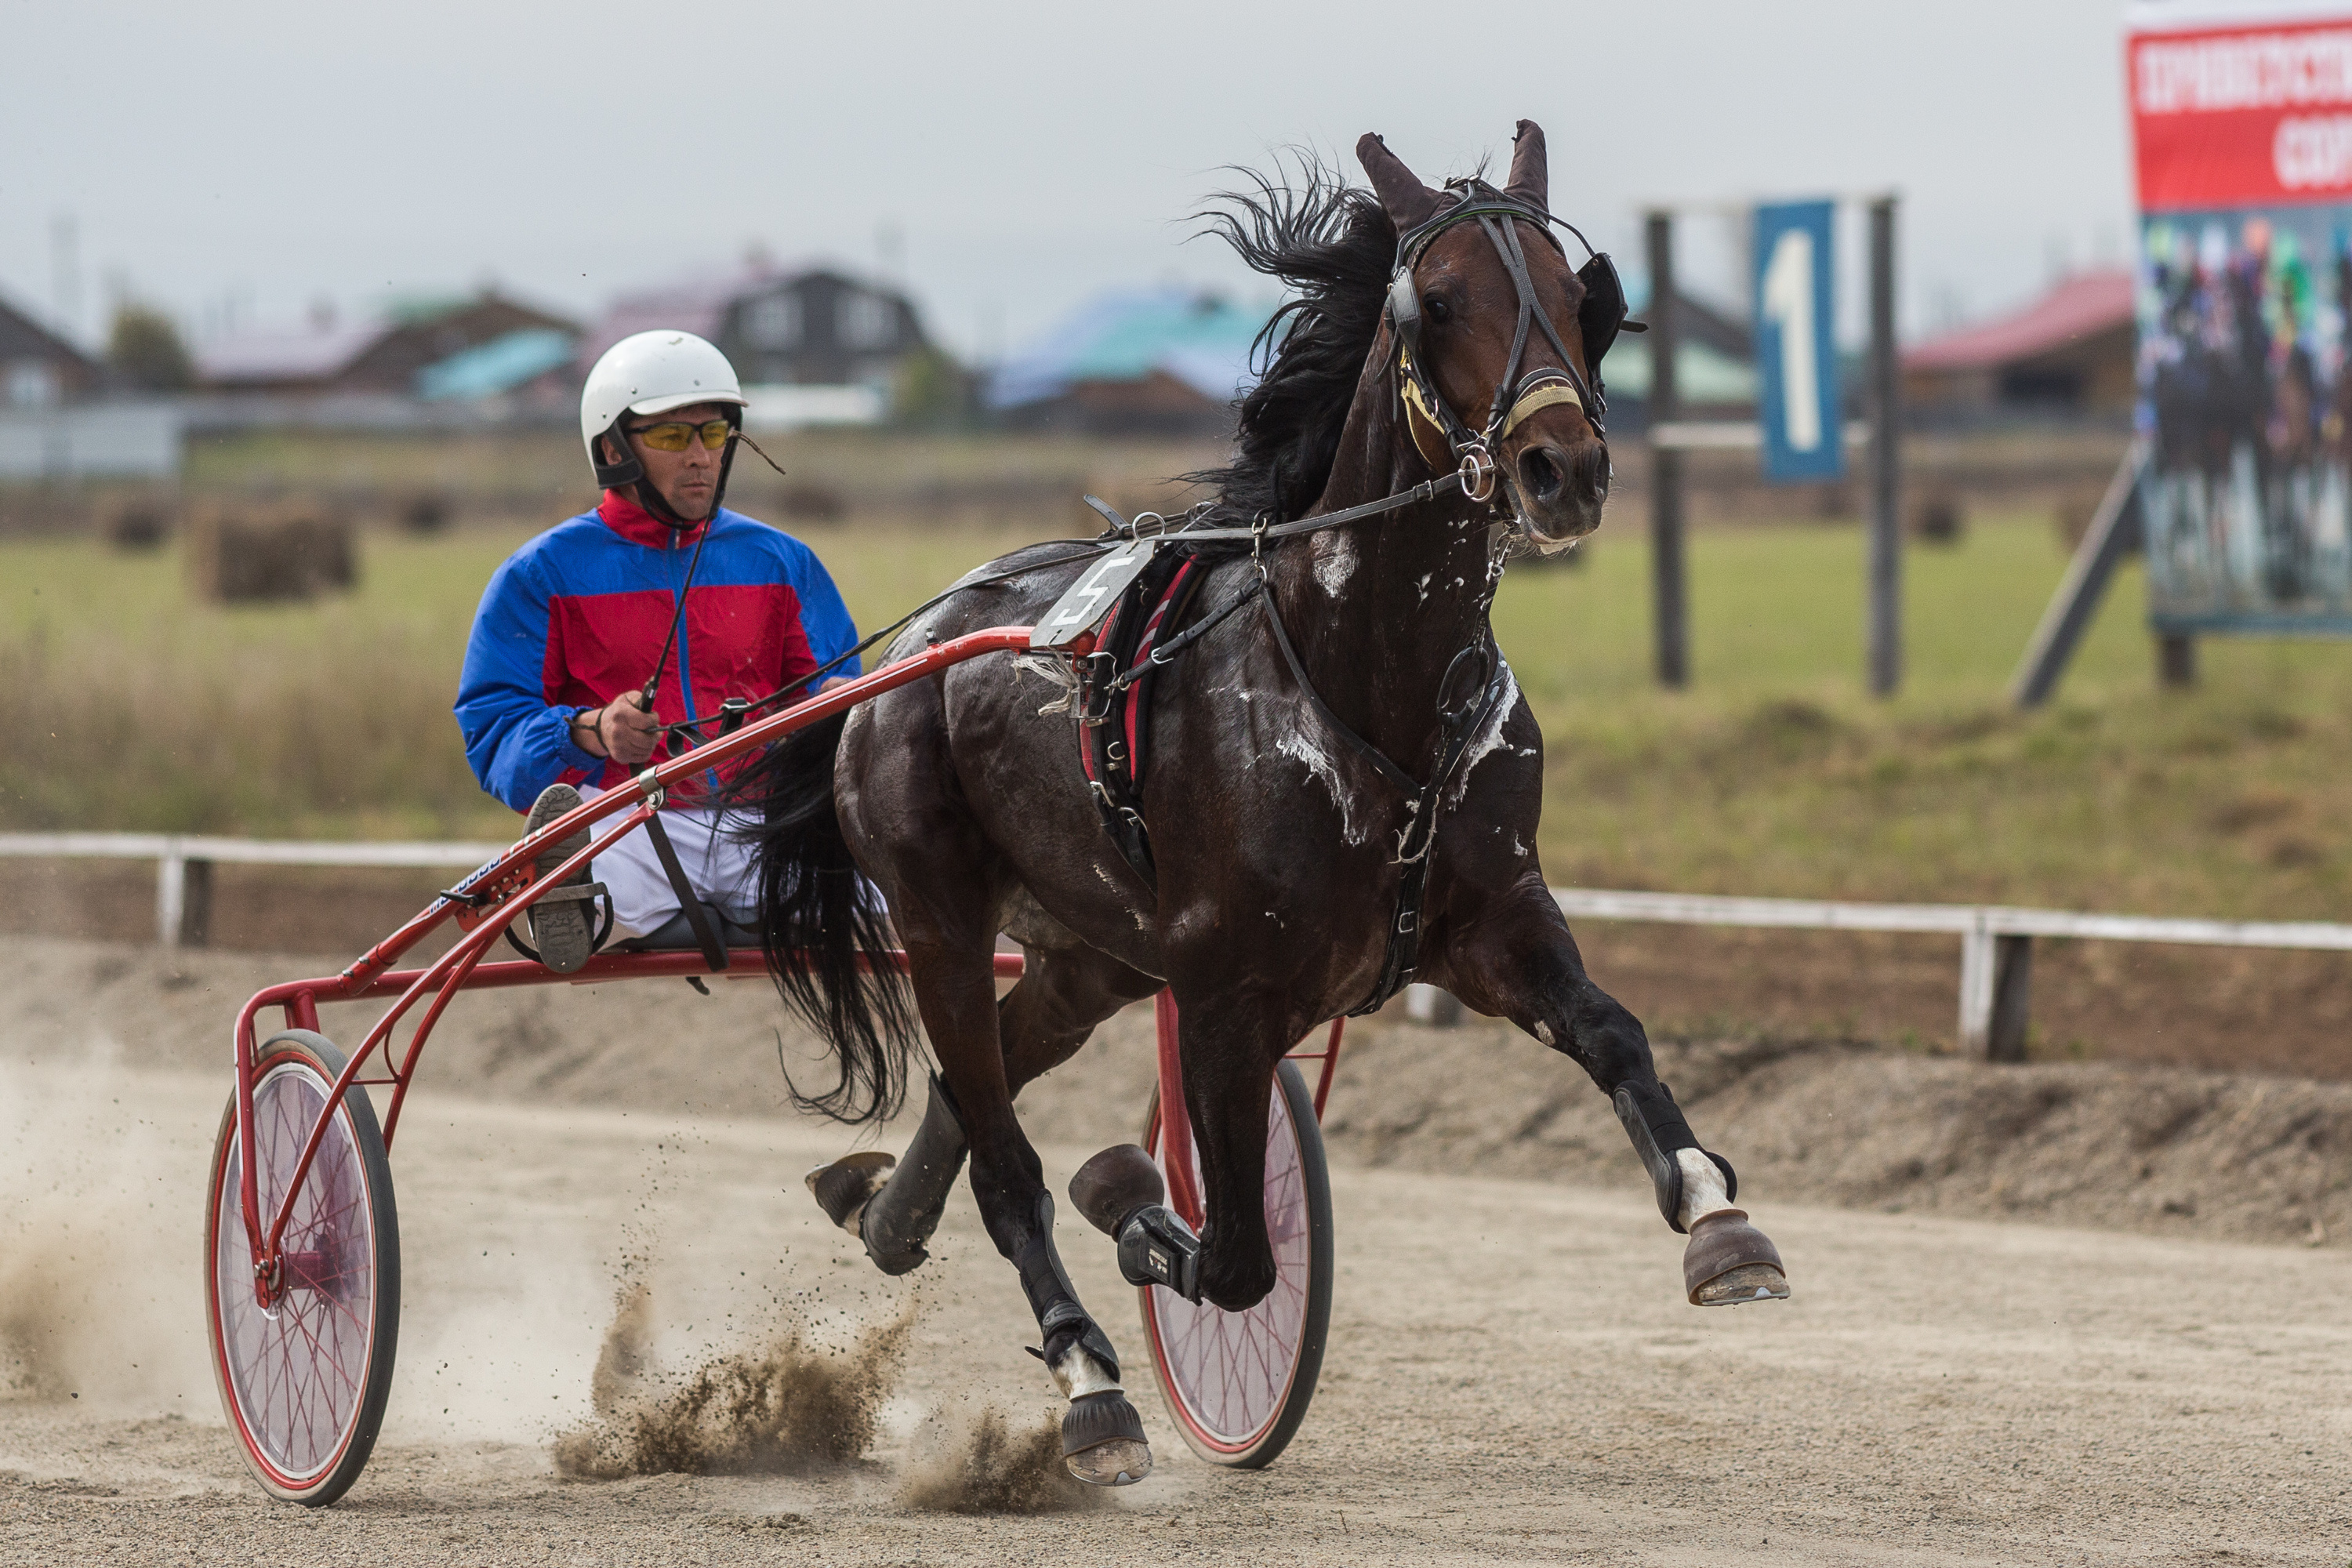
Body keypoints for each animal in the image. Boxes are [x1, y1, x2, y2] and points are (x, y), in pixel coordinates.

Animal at [743, 122, 1788, 1486]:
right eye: (1436, 299)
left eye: (1581, 299)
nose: (1563, 468)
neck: (1364, 690)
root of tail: (903, 656)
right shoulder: (1224, 996)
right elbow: (1232, 1255)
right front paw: (1134, 1206)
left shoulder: (1493, 915)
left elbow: (1614, 1034)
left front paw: (1719, 1215)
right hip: (940, 919)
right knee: (1005, 1152)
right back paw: (1087, 1374)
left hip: (1091, 955)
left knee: (984, 1085)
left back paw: (885, 1210)